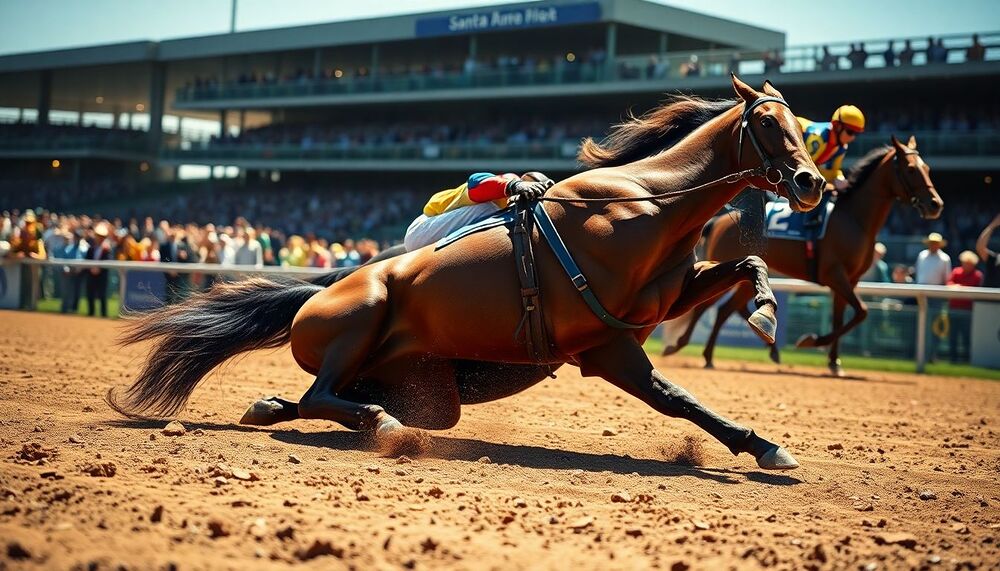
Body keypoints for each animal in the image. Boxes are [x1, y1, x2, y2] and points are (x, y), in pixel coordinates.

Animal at [108, 76, 825, 471]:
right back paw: (383, 426)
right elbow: (679, 398)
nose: (812, 183)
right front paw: (766, 446)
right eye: (768, 122)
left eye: (801, 125)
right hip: (366, 312)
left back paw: (275, 408)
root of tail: (318, 292)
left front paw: (766, 315)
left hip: (426, 384)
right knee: (321, 397)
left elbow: (748, 263)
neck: (641, 202)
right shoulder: (606, 346)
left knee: (317, 401)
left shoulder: (666, 298)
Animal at [662, 135, 943, 376]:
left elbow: (846, 316)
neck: (855, 219)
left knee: (727, 309)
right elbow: (862, 311)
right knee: (706, 307)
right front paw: (810, 340)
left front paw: (834, 362)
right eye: (910, 169)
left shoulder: (849, 280)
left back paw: (742, 351)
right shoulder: (834, 274)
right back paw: (679, 345)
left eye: (927, 168)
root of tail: (719, 221)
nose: (935, 204)